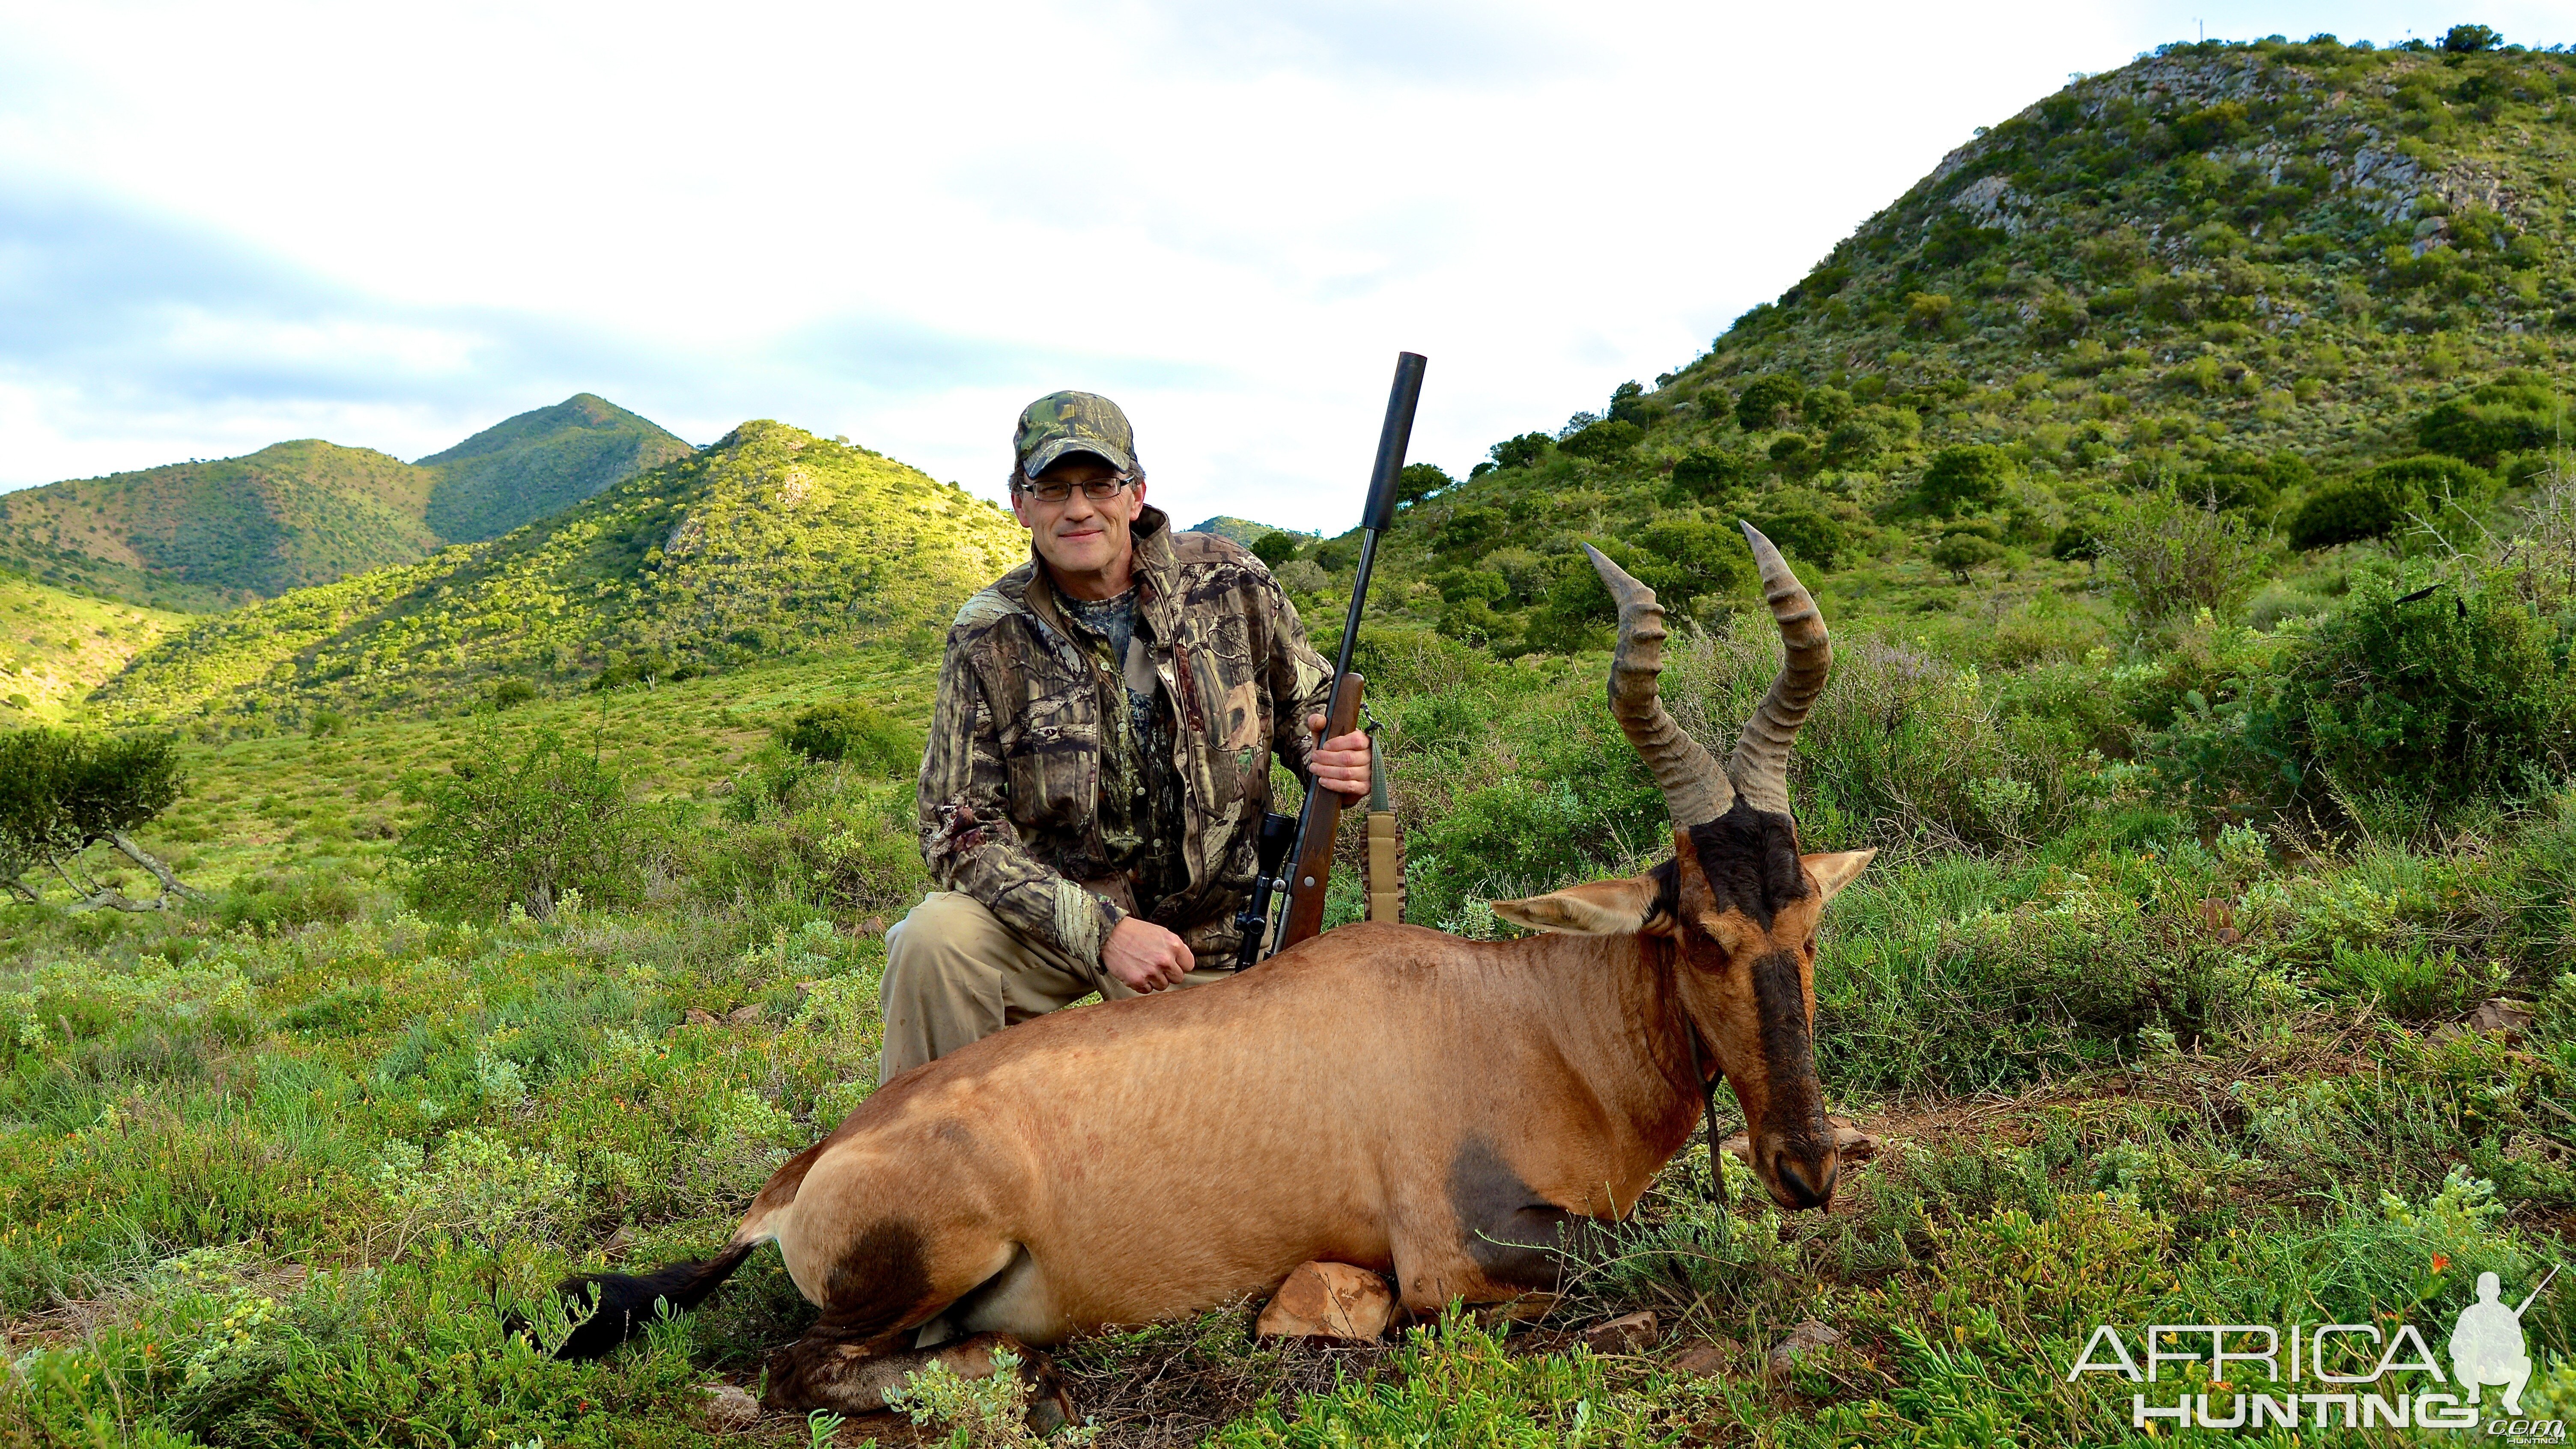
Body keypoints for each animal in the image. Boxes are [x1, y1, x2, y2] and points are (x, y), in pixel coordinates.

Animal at [549, 521, 1875, 1413]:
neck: (1514, 1013)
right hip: (937, 1254)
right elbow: (1634, 1253)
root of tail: (802, 1172)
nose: (1805, 1166)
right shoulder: (1459, 1250)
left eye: (1807, 920)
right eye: (1696, 930)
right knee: (797, 1365)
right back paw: (1026, 1380)